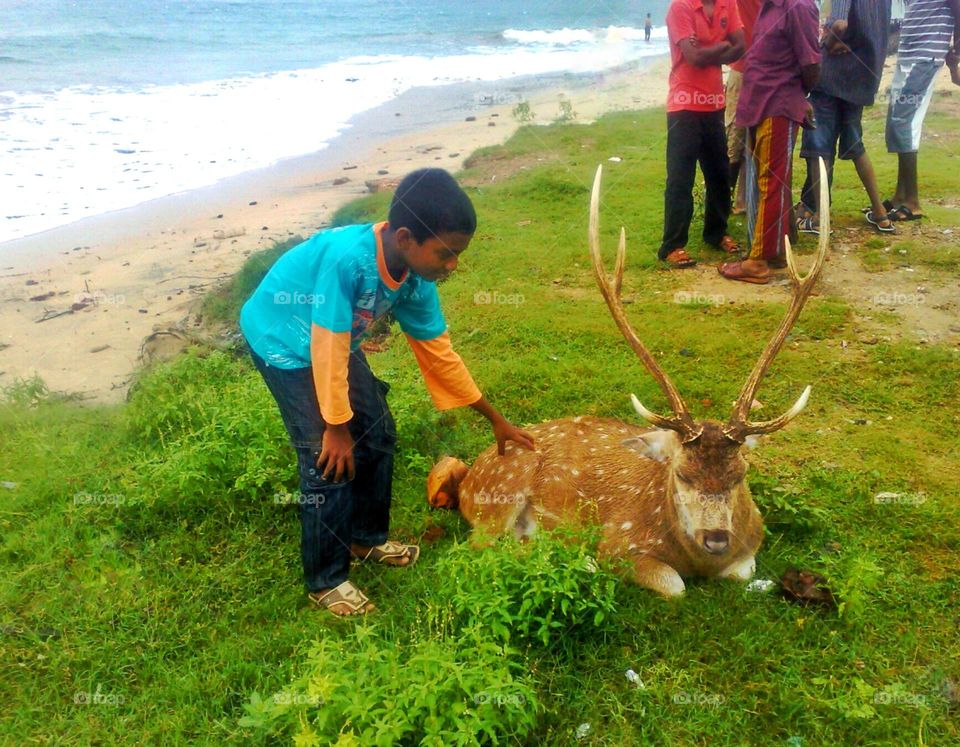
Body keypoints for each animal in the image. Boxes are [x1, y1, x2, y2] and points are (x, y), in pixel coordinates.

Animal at [427, 163, 829, 597]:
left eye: (740, 474)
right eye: (682, 474)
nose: (716, 539)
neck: (695, 562)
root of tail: (469, 477)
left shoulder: (751, 546)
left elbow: (744, 572)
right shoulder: (621, 542)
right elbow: (674, 585)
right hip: (498, 497)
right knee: (479, 548)